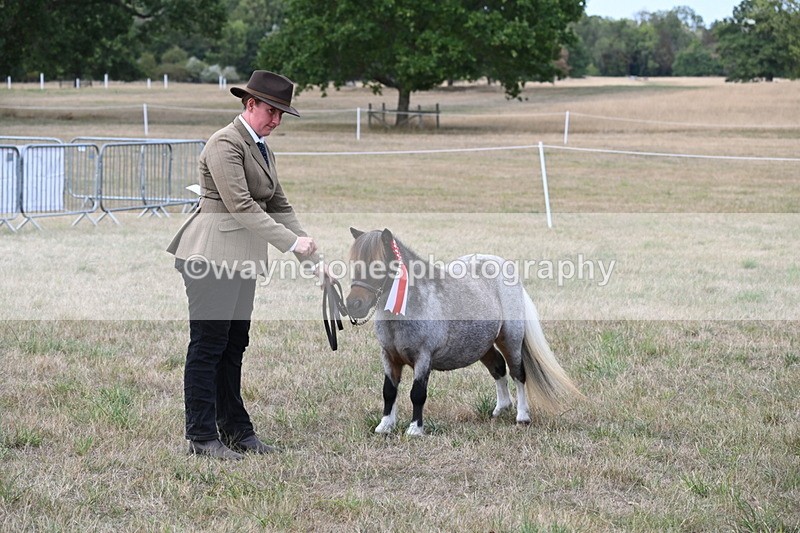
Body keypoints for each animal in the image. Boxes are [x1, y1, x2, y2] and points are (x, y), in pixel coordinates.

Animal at [345, 227, 582, 436]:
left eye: (377, 266)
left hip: (511, 340)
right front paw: (385, 426)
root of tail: (503, 265)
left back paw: (522, 416)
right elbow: (389, 391)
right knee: (498, 367)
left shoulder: (423, 357)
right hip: (481, 345)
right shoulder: (389, 357)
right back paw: (500, 408)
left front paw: (415, 429)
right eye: (354, 264)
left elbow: (417, 394)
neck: (408, 306)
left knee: (518, 373)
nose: (353, 305)